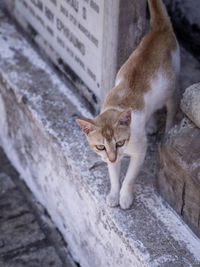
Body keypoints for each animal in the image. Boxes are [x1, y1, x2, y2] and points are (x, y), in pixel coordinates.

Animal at [75, 0, 180, 210]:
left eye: (120, 142)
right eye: (100, 147)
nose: (113, 156)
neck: (117, 105)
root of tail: (159, 29)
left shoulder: (140, 151)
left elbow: (130, 176)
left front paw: (125, 196)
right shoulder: (108, 158)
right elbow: (113, 175)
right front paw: (114, 194)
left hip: (171, 85)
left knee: (171, 106)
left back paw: (168, 129)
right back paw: (152, 124)